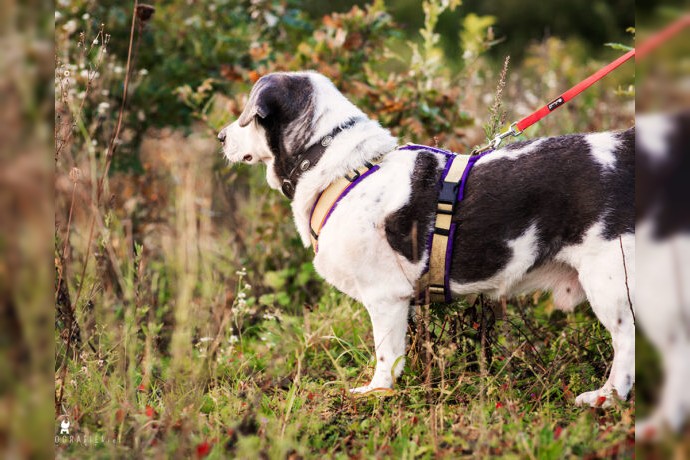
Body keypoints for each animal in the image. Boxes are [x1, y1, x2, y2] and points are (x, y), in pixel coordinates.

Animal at [220, 72, 636, 406]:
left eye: (249, 116)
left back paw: (608, 396)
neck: (340, 166)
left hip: (609, 282)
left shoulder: (385, 296)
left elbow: (386, 355)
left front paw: (377, 392)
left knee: (626, 341)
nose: (221, 136)